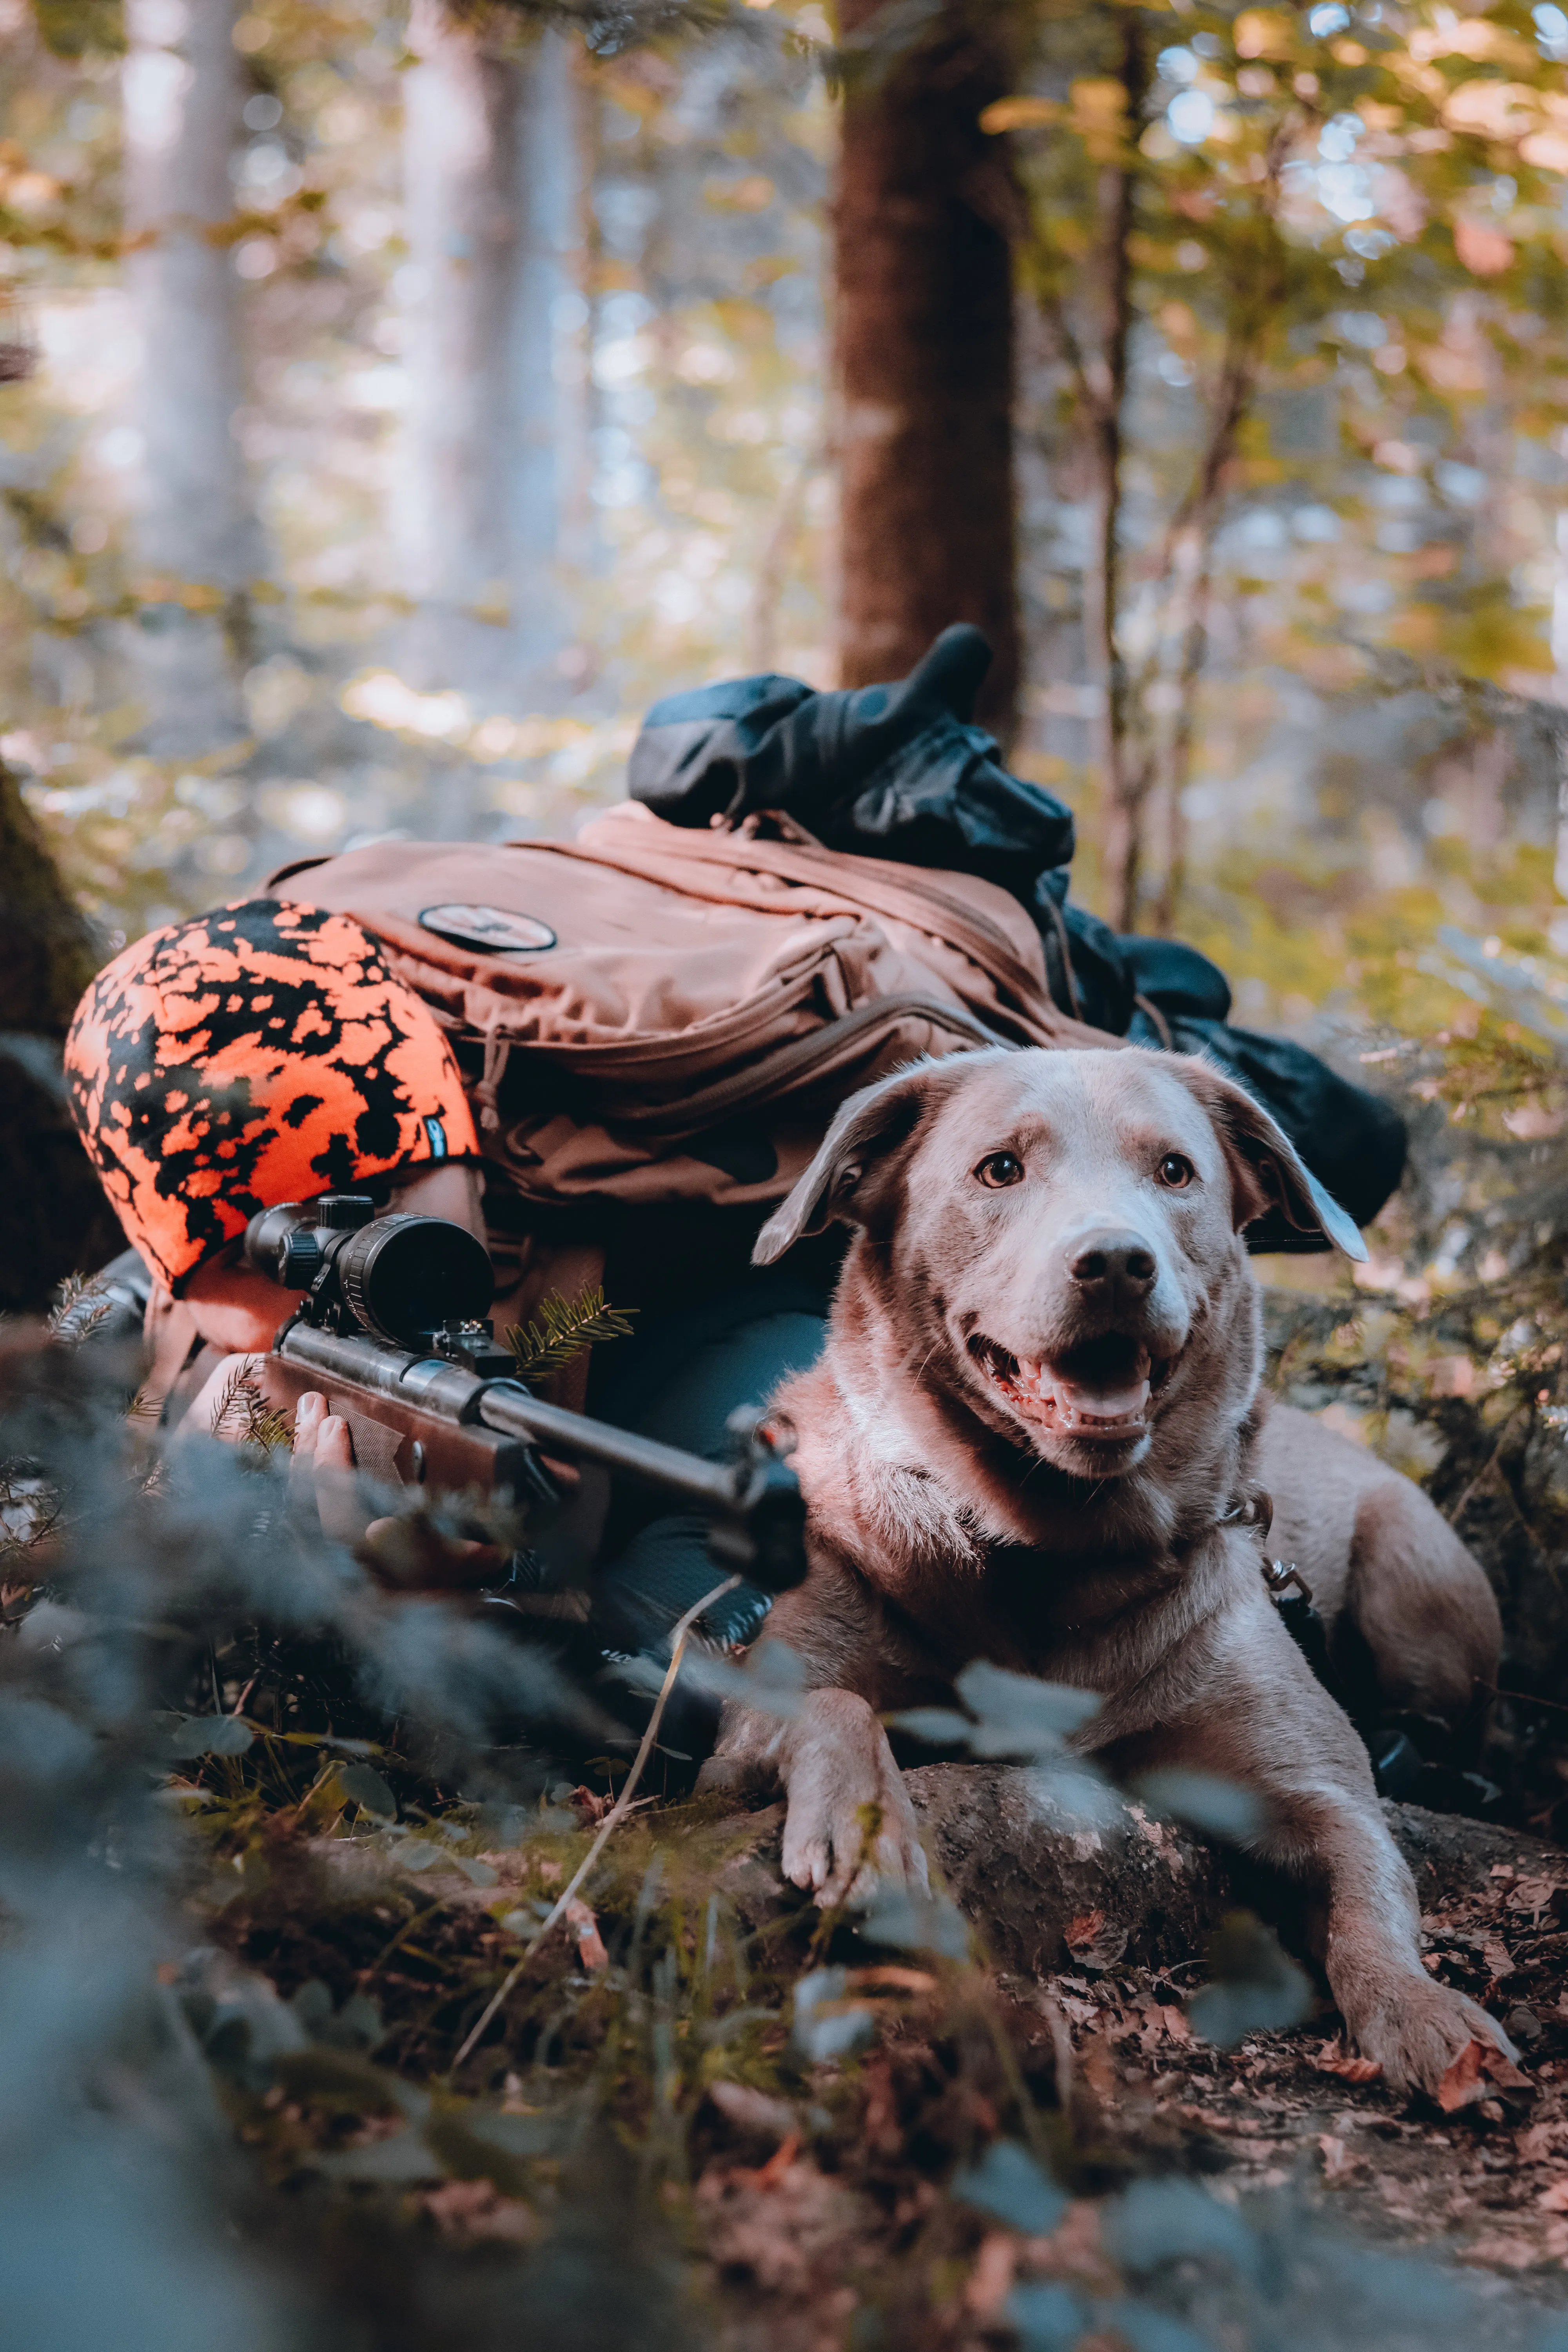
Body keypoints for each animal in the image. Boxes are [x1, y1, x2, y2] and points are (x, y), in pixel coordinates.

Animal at [705, 1049, 1514, 2098]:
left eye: (1174, 1172)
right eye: (999, 1169)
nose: (1118, 1263)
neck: (1045, 1550)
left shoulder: (1304, 1783)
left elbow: (1369, 1885)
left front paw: (1422, 2011)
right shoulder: (733, 1741)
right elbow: (829, 1702)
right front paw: (866, 1824)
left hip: (1414, 1573)